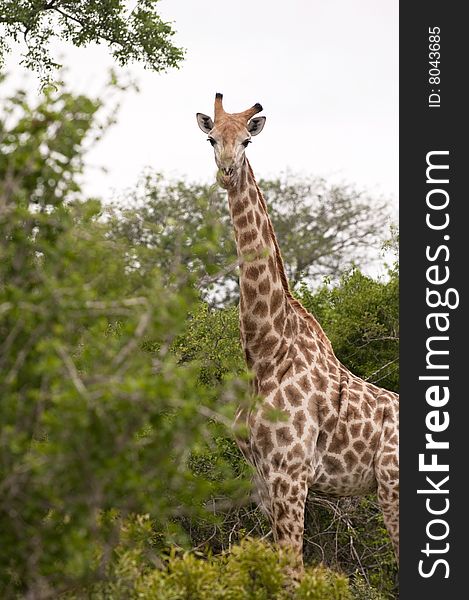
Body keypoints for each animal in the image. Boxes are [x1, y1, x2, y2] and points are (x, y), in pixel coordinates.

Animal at [196, 92, 396, 572]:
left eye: (248, 141)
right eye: (211, 139)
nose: (226, 172)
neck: (267, 352)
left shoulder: (291, 473)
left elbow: (292, 570)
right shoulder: (263, 478)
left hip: (393, 489)